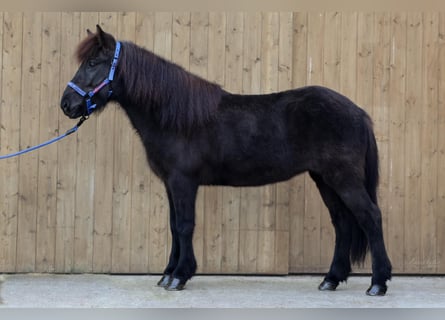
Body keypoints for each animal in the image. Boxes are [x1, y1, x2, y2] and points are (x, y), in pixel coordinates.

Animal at [60, 26, 390, 296]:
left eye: (93, 63)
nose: (67, 104)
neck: (175, 116)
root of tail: (358, 112)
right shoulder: (170, 184)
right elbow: (173, 226)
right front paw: (168, 274)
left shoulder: (183, 182)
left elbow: (184, 225)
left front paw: (179, 276)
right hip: (324, 179)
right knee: (342, 223)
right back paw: (331, 279)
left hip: (343, 179)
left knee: (370, 217)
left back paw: (378, 283)